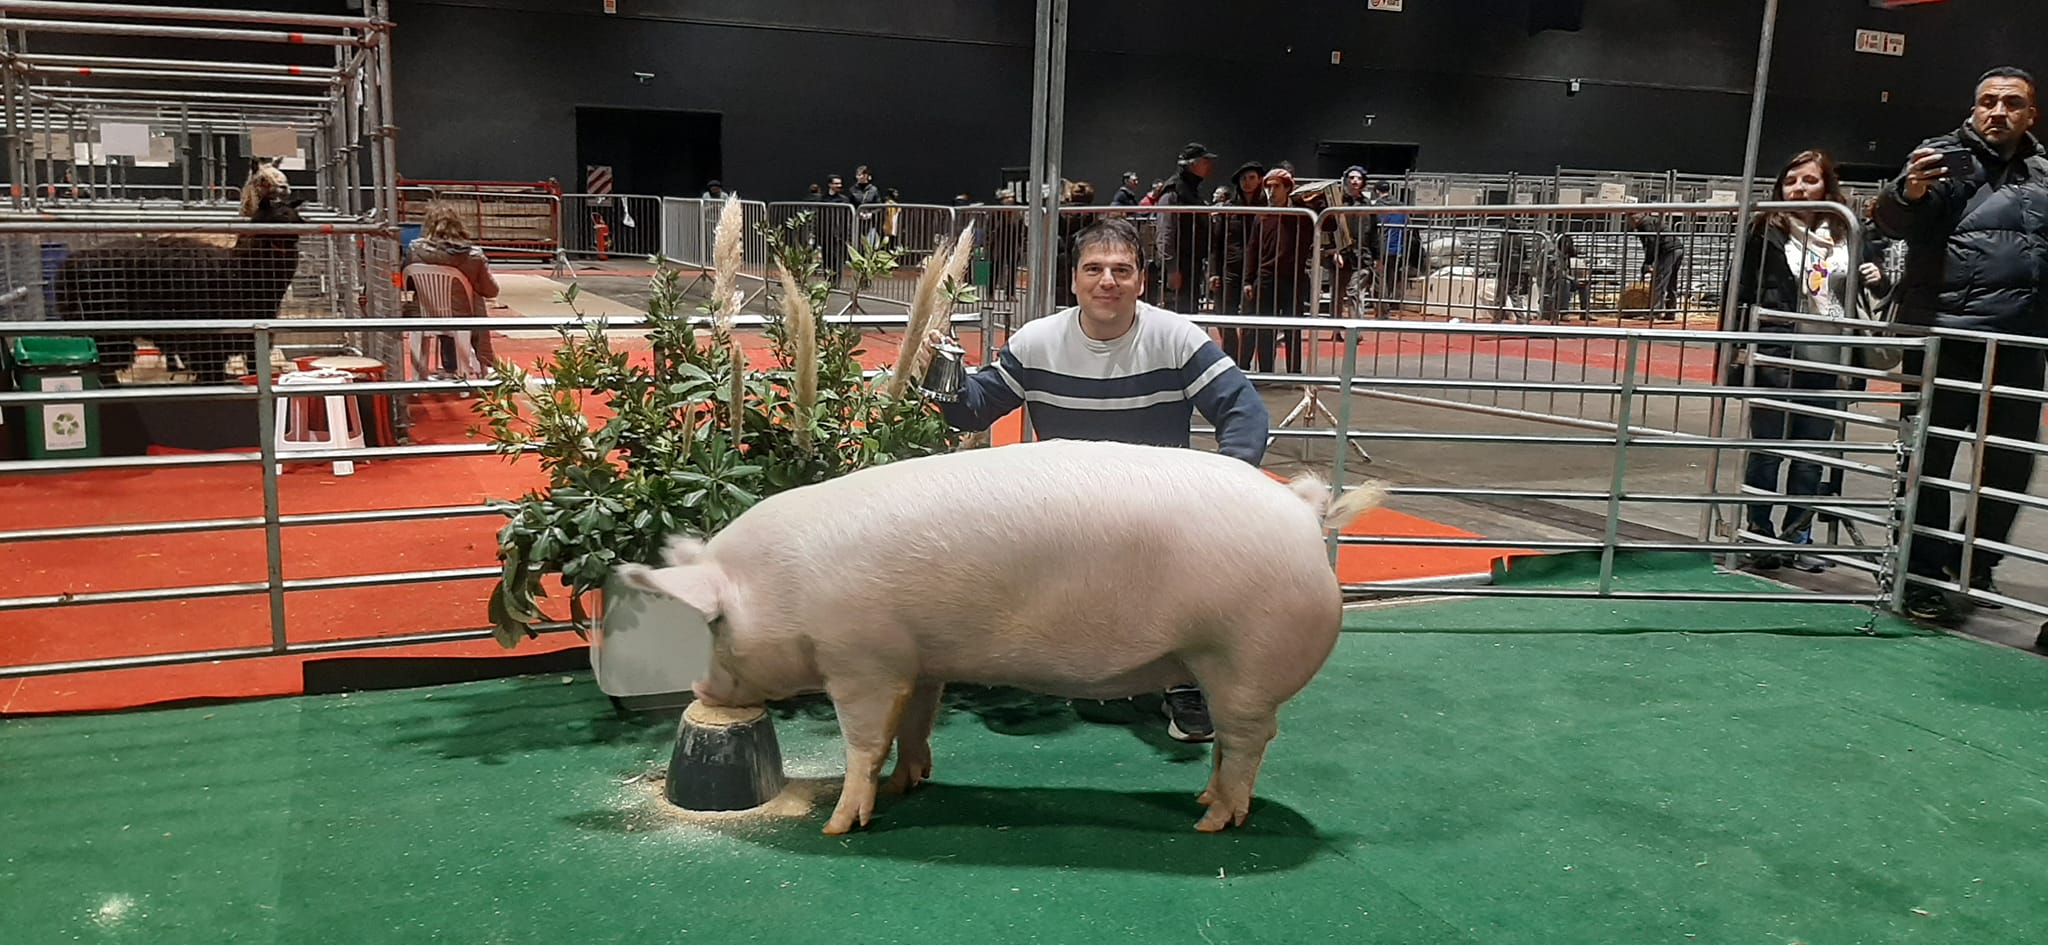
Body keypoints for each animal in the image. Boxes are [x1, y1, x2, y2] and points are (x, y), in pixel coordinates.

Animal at [614, 436, 1384, 832]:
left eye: (715, 624)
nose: (700, 686)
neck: (786, 587)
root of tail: (1304, 513)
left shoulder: (861, 658)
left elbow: (864, 739)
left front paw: (839, 823)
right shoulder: (920, 659)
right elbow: (913, 724)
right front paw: (909, 786)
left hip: (1243, 658)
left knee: (1250, 741)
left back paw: (1213, 821)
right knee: (1231, 742)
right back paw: (1202, 802)